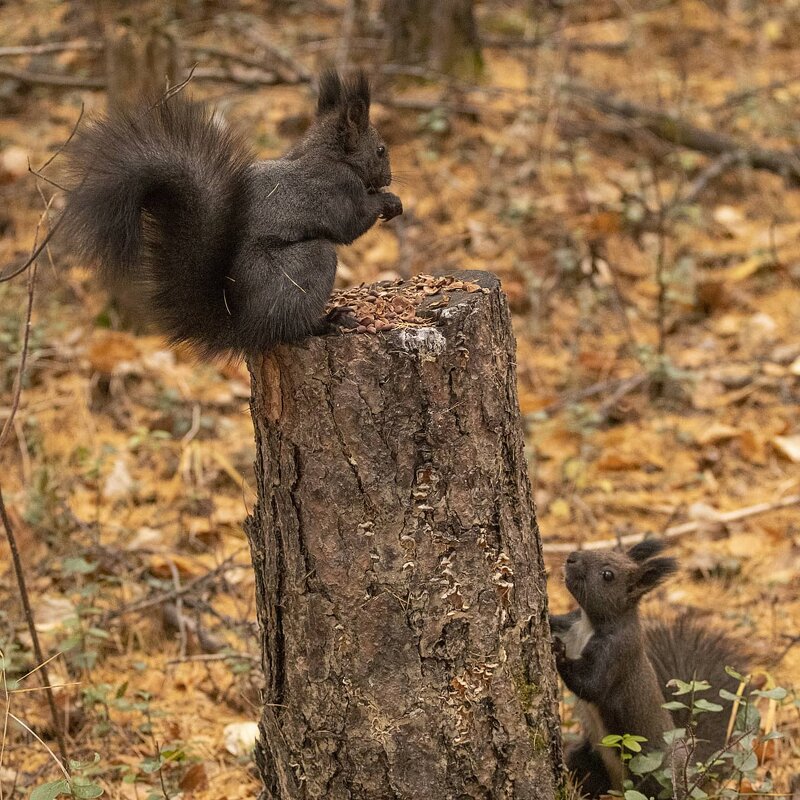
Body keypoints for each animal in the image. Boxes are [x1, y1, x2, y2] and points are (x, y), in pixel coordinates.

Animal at [59, 70, 404, 358]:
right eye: (380, 150)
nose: (388, 177)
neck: (323, 153)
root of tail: (243, 329)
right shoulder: (336, 188)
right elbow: (351, 222)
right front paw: (389, 202)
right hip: (307, 264)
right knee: (291, 326)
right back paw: (328, 321)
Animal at [552, 540, 748, 796]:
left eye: (608, 575)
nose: (572, 558)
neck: (588, 625)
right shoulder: (570, 625)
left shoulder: (617, 652)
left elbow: (591, 685)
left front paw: (558, 653)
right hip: (587, 758)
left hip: (653, 775)